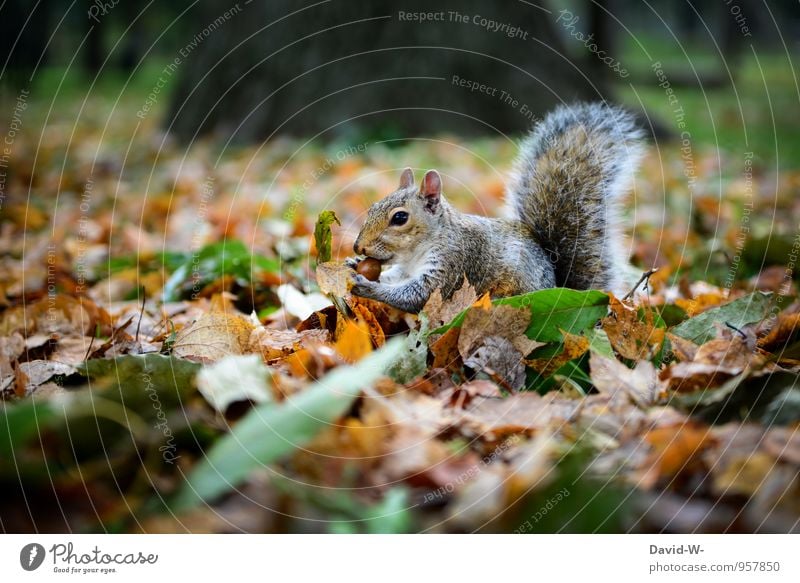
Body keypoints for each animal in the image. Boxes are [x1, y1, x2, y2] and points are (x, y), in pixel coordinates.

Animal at [348, 104, 644, 314]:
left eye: (400, 217)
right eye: (372, 207)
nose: (358, 247)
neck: (419, 249)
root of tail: (558, 286)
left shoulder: (453, 264)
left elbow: (417, 295)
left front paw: (367, 288)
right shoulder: (407, 269)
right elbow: (395, 277)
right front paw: (354, 265)